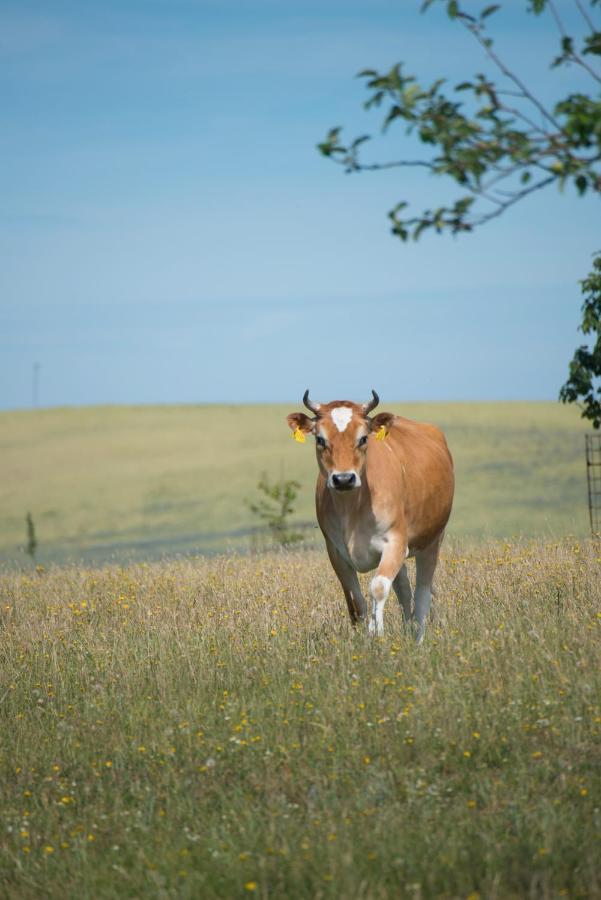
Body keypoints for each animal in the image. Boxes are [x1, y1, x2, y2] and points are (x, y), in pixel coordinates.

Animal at [284, 390, 450, 644]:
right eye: (320, 439)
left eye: (363, 438)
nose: (343, 479)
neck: (352, 508)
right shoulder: (336, 553)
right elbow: (357, 601)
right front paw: (366, 636)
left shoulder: (395, 542)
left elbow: (378, 587)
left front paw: (377, 633)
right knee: (404, 589)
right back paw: (407, 629)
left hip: (431, 541)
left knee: (422, 593)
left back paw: (418, 639)